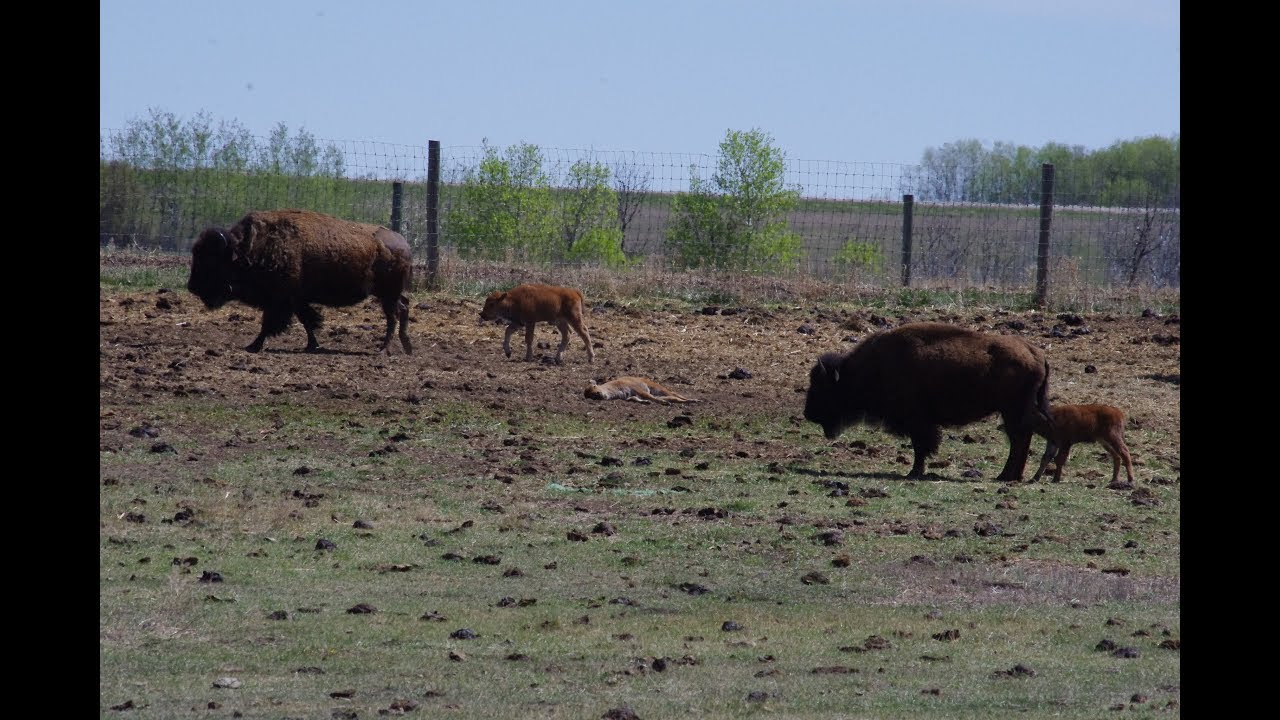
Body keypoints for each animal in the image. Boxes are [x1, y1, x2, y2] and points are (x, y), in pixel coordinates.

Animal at [186, 209, 413, 355]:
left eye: (211, 260)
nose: (192, 287)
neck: (249, 249)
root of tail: (403, 243)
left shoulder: (279, 301)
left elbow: (269, 324)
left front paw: (253, 346)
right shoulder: (296, 300)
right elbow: (307, 321)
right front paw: (312, 345)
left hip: (388, 295)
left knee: (393, 317)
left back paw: (383, 350)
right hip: (389, 295)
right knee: (403, 308)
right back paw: (406, 348)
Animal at [803, 322, 1051, 482]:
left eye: (822, 387)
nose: (808, 414)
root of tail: (1036, 353)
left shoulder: (918, 422)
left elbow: (920, 447)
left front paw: (914, 472)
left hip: (1012, 411)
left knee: (1019, 438)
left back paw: (1006, 476)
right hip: (1012, 412)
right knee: (1021, 438)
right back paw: (1010, 476)